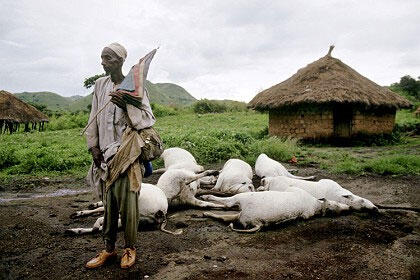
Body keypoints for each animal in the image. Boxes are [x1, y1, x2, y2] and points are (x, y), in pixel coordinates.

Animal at [202, 188, 350, 234]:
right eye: (335, 204)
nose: (348, 208)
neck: (316, 205)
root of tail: (258, 223)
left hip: (243, 200)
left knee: (227, 203)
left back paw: (206, 199)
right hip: (241, 214)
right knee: (226, 214)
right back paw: (206, 212)